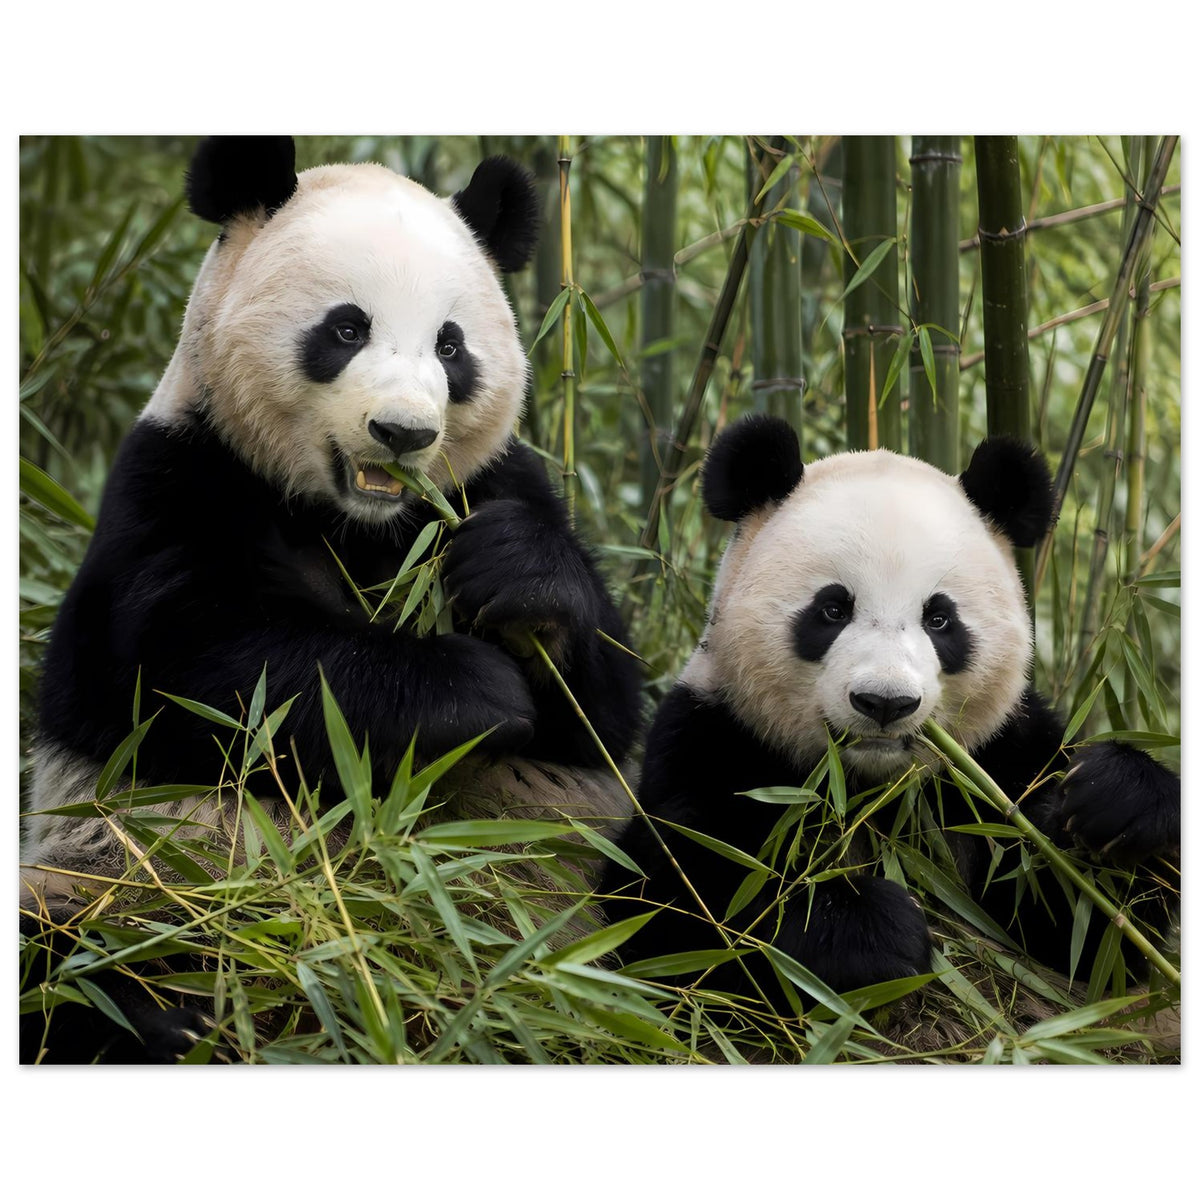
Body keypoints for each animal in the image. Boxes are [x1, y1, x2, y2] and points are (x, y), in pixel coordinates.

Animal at [20, 137, 642, 1063]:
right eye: (347, 329)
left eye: (450, 347)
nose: (404, 433)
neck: (358, 524)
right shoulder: (174, 485)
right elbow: (206, 676)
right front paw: (474, 691)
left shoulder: (494, 483)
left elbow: (603, 712)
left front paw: (518, 579)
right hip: (123, 884)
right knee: (71, 959)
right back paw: (177, 1019)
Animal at [602, 414, 1179, 1012]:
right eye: (833, 609)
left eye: (940, 619)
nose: (885, 703)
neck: (870, 790)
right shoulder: (715, 735)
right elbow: (683, 894)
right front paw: (871, 930)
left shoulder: (998, 759)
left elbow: (1087, 931)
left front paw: (1115, 803)